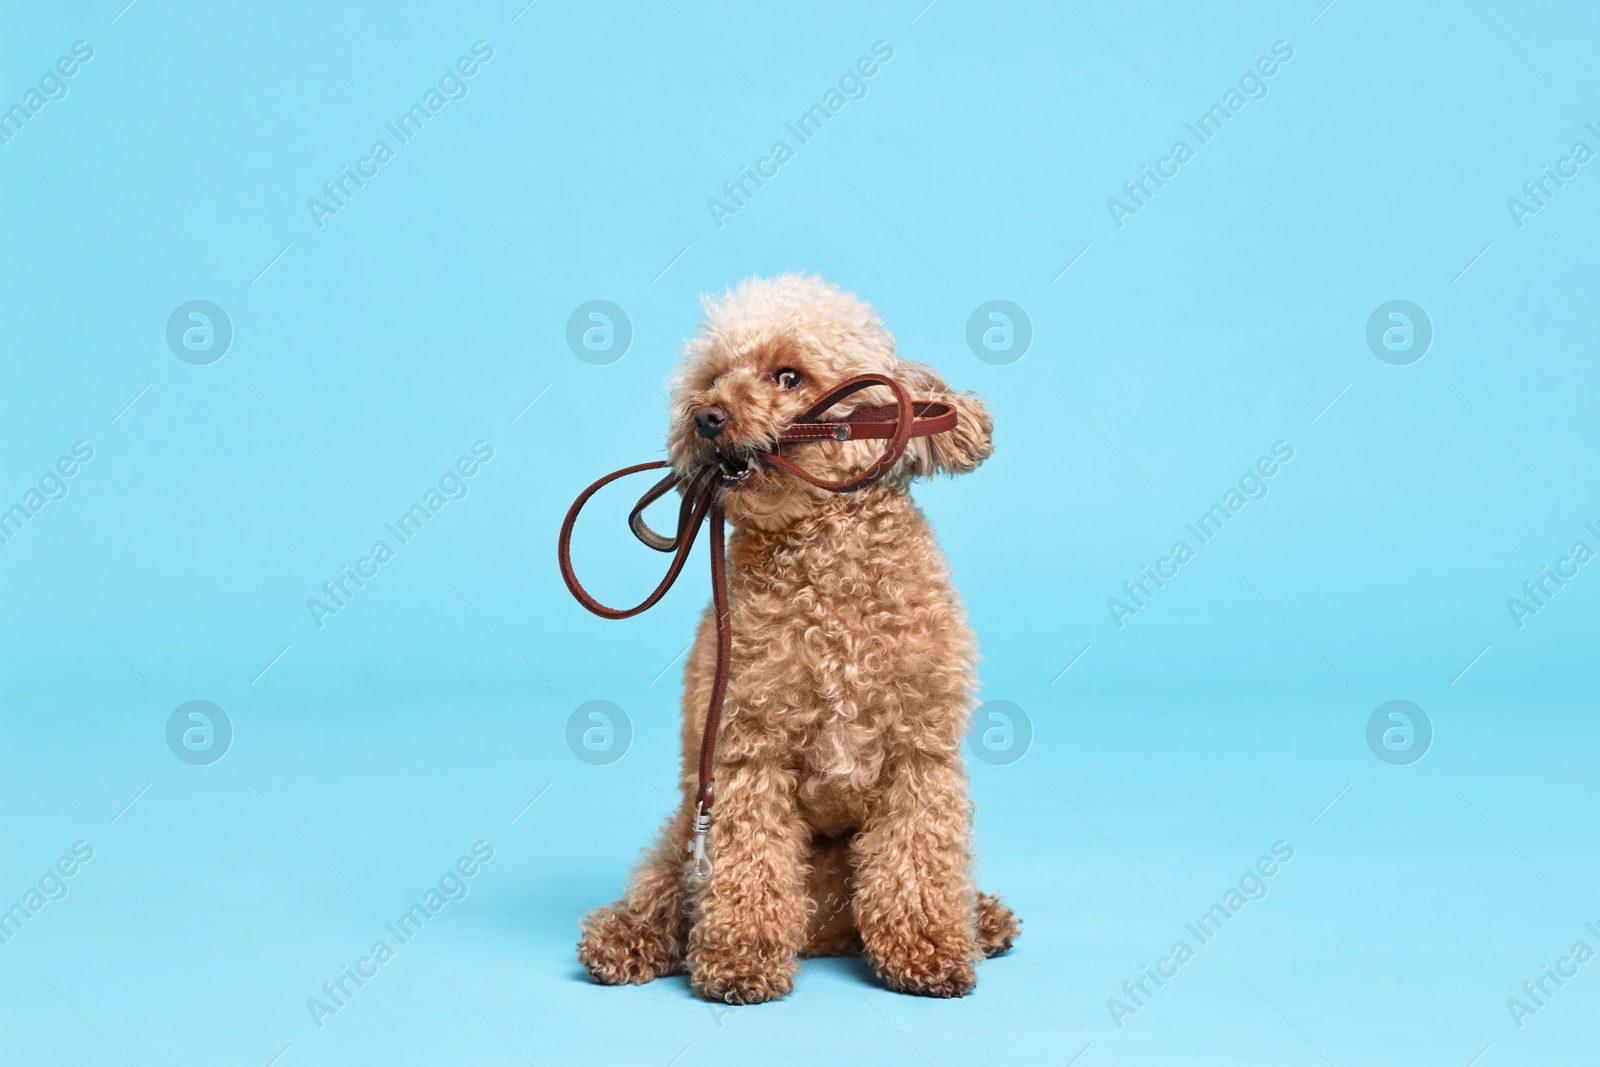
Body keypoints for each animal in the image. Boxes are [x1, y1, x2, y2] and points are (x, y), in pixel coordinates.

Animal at [582, 273, 1017, 1004]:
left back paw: (980, 917)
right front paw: (740, 957)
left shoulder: (921, 755)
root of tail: (825, 937)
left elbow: (921, 856)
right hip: (687, 825)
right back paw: (627, 936)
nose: (706, 416)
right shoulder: (744, 755)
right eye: (713, 377)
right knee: (664, 887)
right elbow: (748, 864)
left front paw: (929, 945)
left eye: (788, 376)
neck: (823, 558)